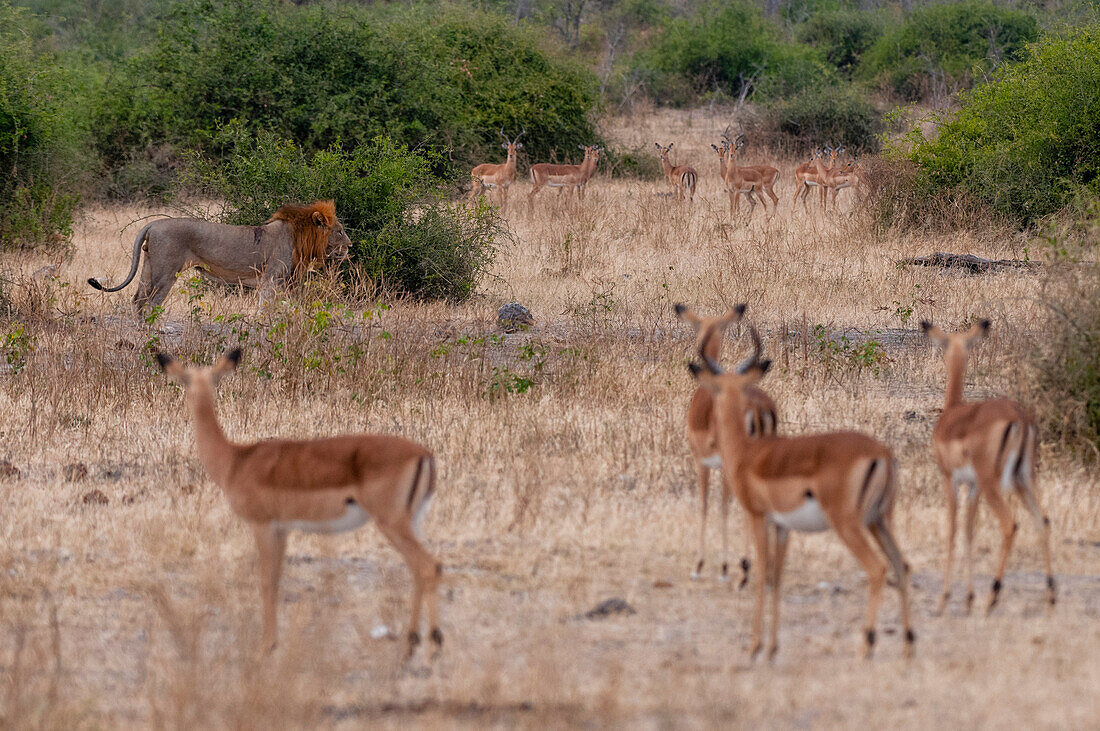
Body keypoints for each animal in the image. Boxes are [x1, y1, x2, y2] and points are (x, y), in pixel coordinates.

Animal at [88, 200, 349, 314]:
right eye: (340, 231)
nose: (350, 245)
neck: (299, 237)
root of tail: (152, 224)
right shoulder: (271, 279)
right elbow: (266, 309)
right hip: (165, 273)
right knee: (150, 305)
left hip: (149, 267)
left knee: (137, 301)